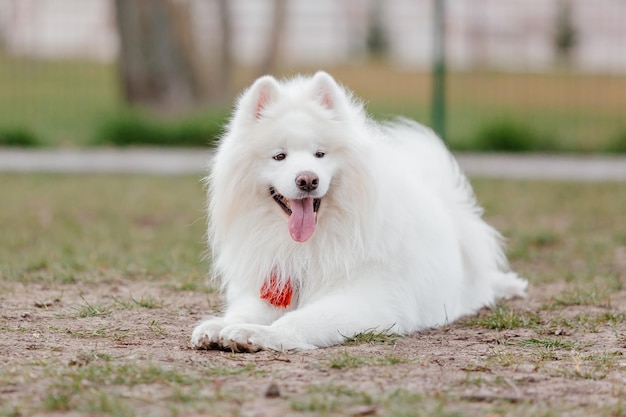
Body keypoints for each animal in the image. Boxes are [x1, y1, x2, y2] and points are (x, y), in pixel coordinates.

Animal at [190, 71, 528, 352]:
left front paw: (260, 335)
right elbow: (243, 312)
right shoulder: (275, 282)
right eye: (279, 156)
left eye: (320, 154)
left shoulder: (365, 300)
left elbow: (301, 320)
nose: (307, 179)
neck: (309, 243)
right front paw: (220, 326)